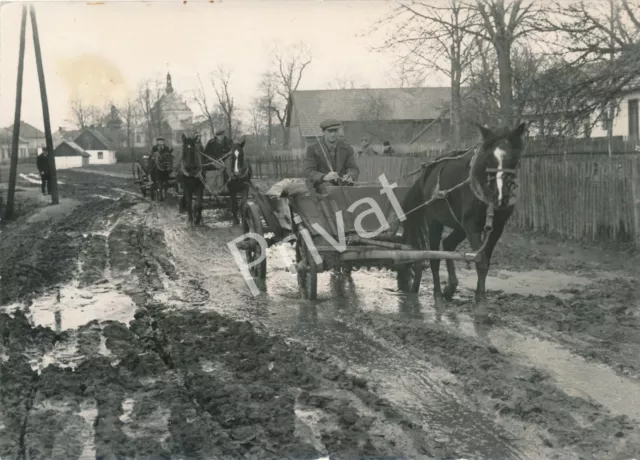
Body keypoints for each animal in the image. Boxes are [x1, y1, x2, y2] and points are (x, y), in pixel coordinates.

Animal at [402, 122, 528, 318]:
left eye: (513, 159)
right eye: (488, 159)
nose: (501, 196)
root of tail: (427, 172)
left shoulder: (497, 228)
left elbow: (486, 261)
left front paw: (478, 297)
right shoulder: (472, 226)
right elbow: (480, 260)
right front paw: (481, 305)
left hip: (459, 226)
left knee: (448, 244)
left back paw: (450, 287)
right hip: (435, 221)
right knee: (433, 257)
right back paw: (438, 295)